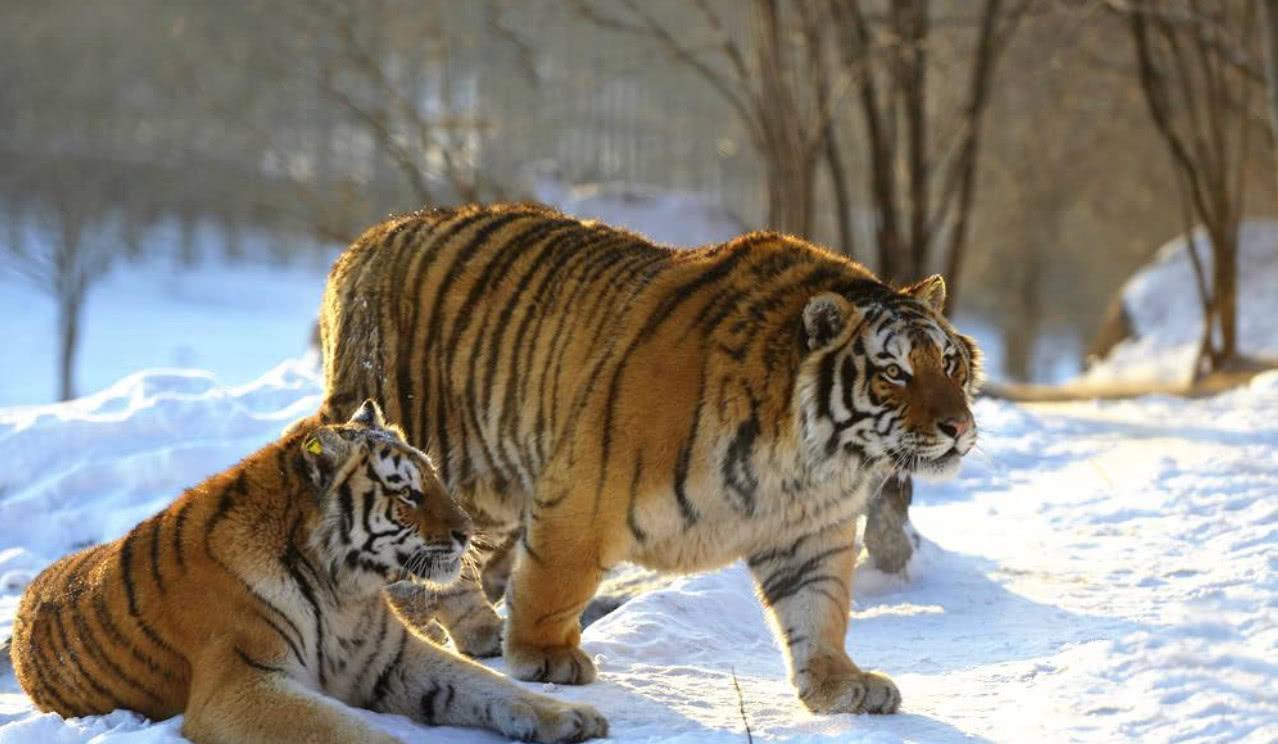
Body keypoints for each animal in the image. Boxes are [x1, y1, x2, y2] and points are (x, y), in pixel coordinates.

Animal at [8, 401, 608, 744]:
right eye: (408, 494)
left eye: (434, 478)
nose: (466, 533)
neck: (343, 589)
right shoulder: (240, 684)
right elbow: (355, 735)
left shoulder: (392, 658)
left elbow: (488, 684)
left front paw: (572, 717)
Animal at [311, 204, 986, 715]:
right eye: (894, 373)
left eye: (949, 364)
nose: (958, 427)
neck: (812, 456)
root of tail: (363, 244)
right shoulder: (583, 489)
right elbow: (555, 579)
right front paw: (544, 656)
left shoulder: (809, 529)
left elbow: (819, 606)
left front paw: (836, 684)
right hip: (426, 452)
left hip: (484, 490)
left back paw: (479, 631)